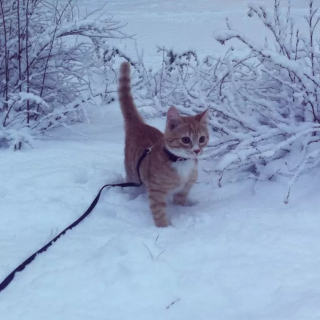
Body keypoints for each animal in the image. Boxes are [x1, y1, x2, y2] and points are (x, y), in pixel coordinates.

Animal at [119, 62, 209, 228]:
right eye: (185, 139)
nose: (197, 150)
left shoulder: (184, 189)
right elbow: (159, 213)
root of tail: (138, 125)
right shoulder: (156, 191)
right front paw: (165, 229)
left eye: (202, 139)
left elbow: (179, 201)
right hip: (132, 174)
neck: (181, 162)